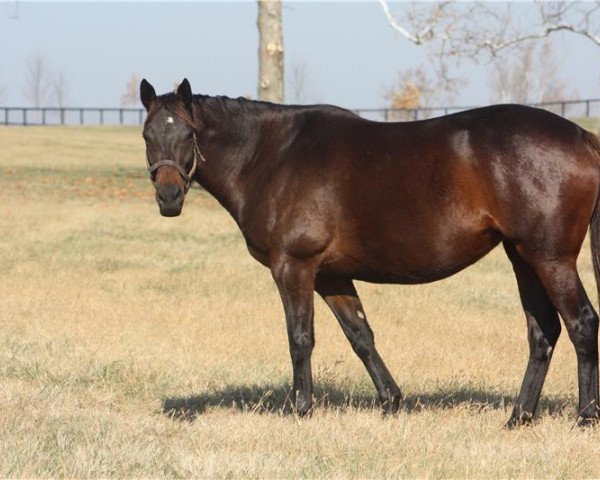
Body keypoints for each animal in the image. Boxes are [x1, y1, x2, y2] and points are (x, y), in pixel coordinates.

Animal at [138, 79, 600, 428]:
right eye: (147, 135)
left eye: (188, 134)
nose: (168, 197)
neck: (273, 155)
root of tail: (582, 137)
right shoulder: (332, 275)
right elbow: (361, 335)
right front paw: (391, 402)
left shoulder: (294, 267)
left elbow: (300, 338)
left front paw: (301, 410)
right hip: (522, 255)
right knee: (542, 331)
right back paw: (518, 417)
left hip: (550, 258)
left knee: (581, 323)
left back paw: (584, 417)